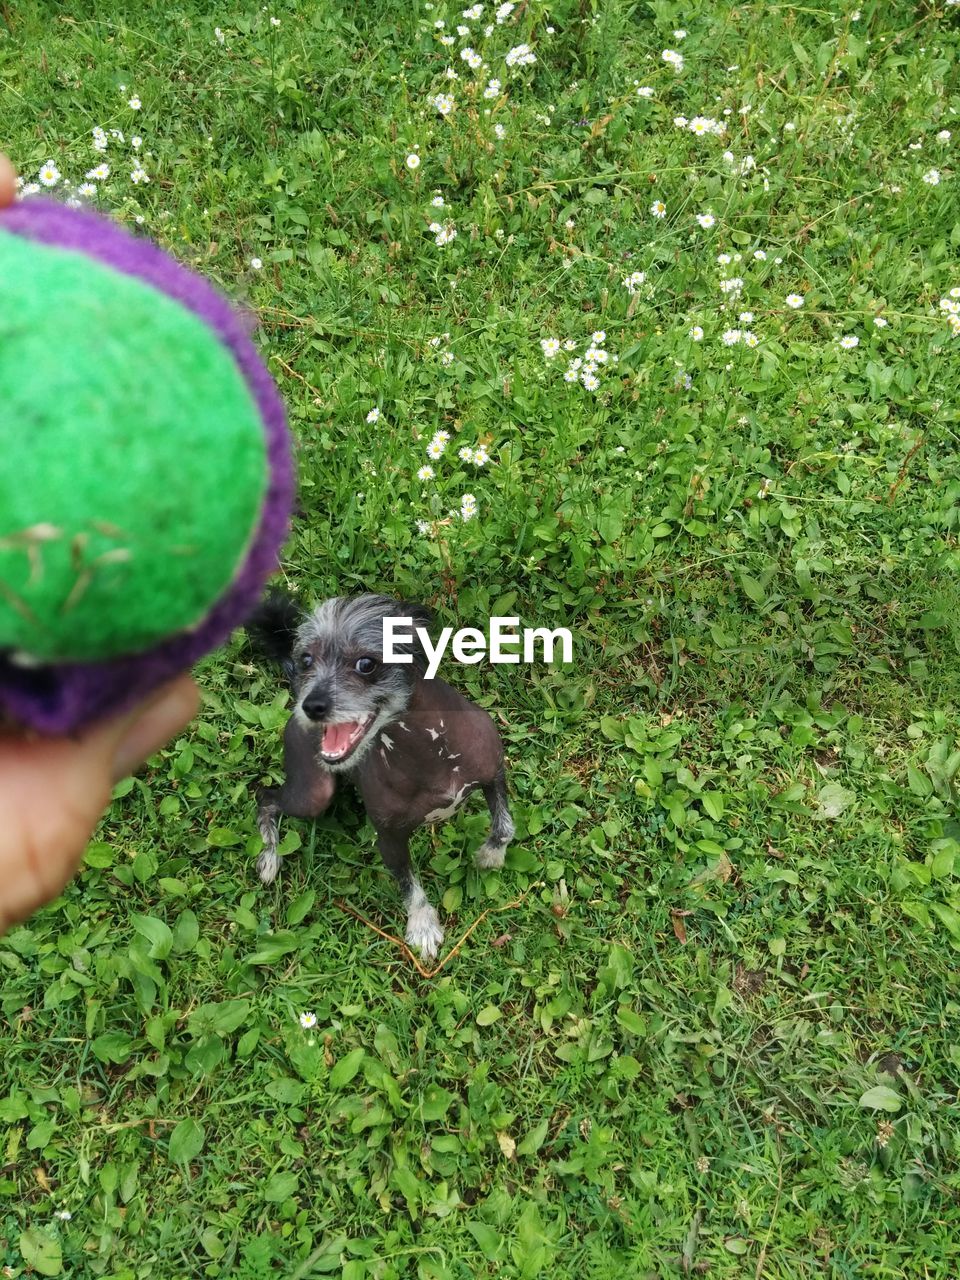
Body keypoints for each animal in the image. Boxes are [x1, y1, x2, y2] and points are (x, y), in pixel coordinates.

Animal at [252, 593, 514, 957]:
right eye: (306, 659)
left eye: (366, 664)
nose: (311, 706)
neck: (430, 751)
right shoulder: (389, 840)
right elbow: (409, 887)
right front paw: (422, 926)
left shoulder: (494, 774)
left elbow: (505, 827)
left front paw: (490, 856)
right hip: (313, 795)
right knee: (265, 796)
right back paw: (270, 855)